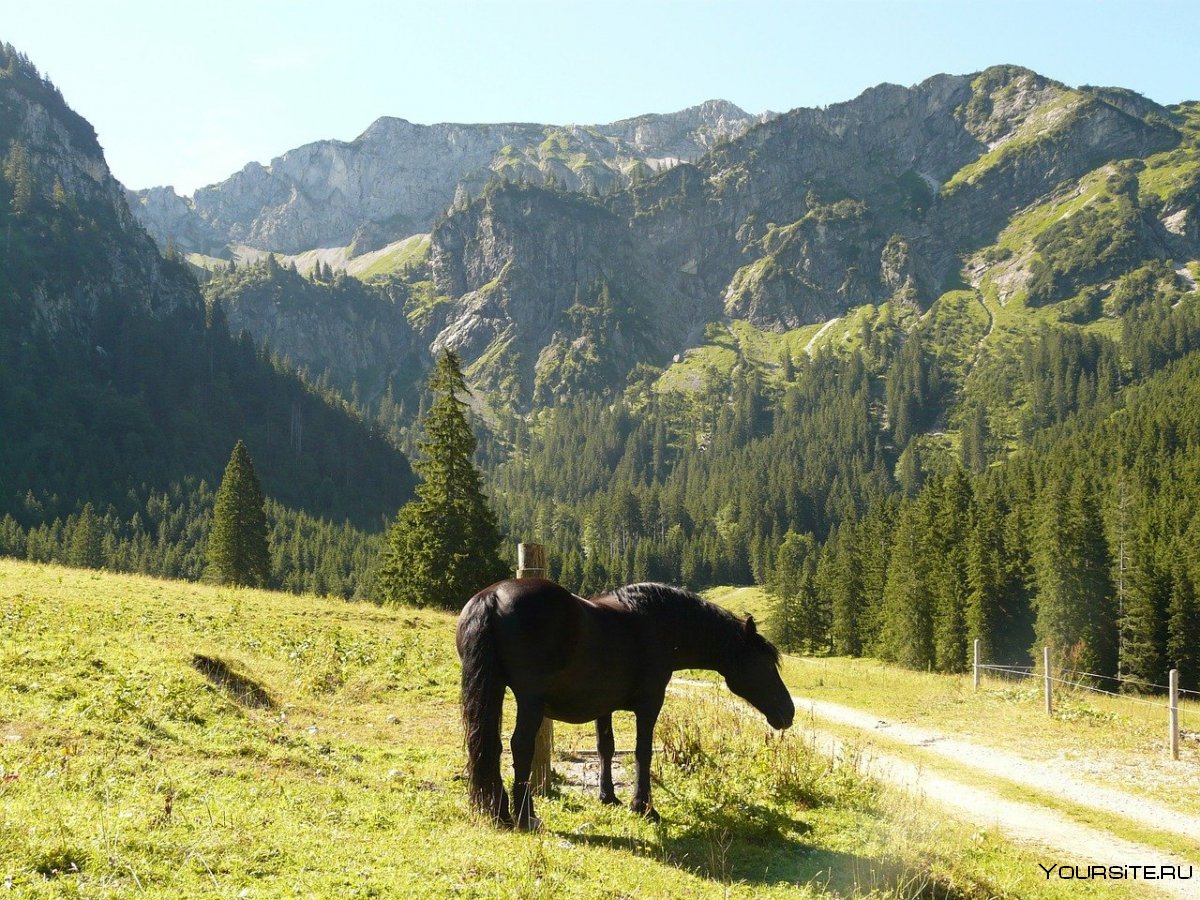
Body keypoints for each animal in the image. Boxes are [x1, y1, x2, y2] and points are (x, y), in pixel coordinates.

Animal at [453, 578, 792, 830]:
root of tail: (492, 597)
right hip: (530, 700)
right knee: (519, 745)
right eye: (763, 664)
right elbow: (643, 752)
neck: (658, 624)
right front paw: (644, 807)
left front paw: (609, 797)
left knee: (490, 745)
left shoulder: (603, 706)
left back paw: (500, 813)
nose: (788, 713)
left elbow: (606, 747)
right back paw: (525, 817)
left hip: (496, 691)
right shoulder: (649, 704)